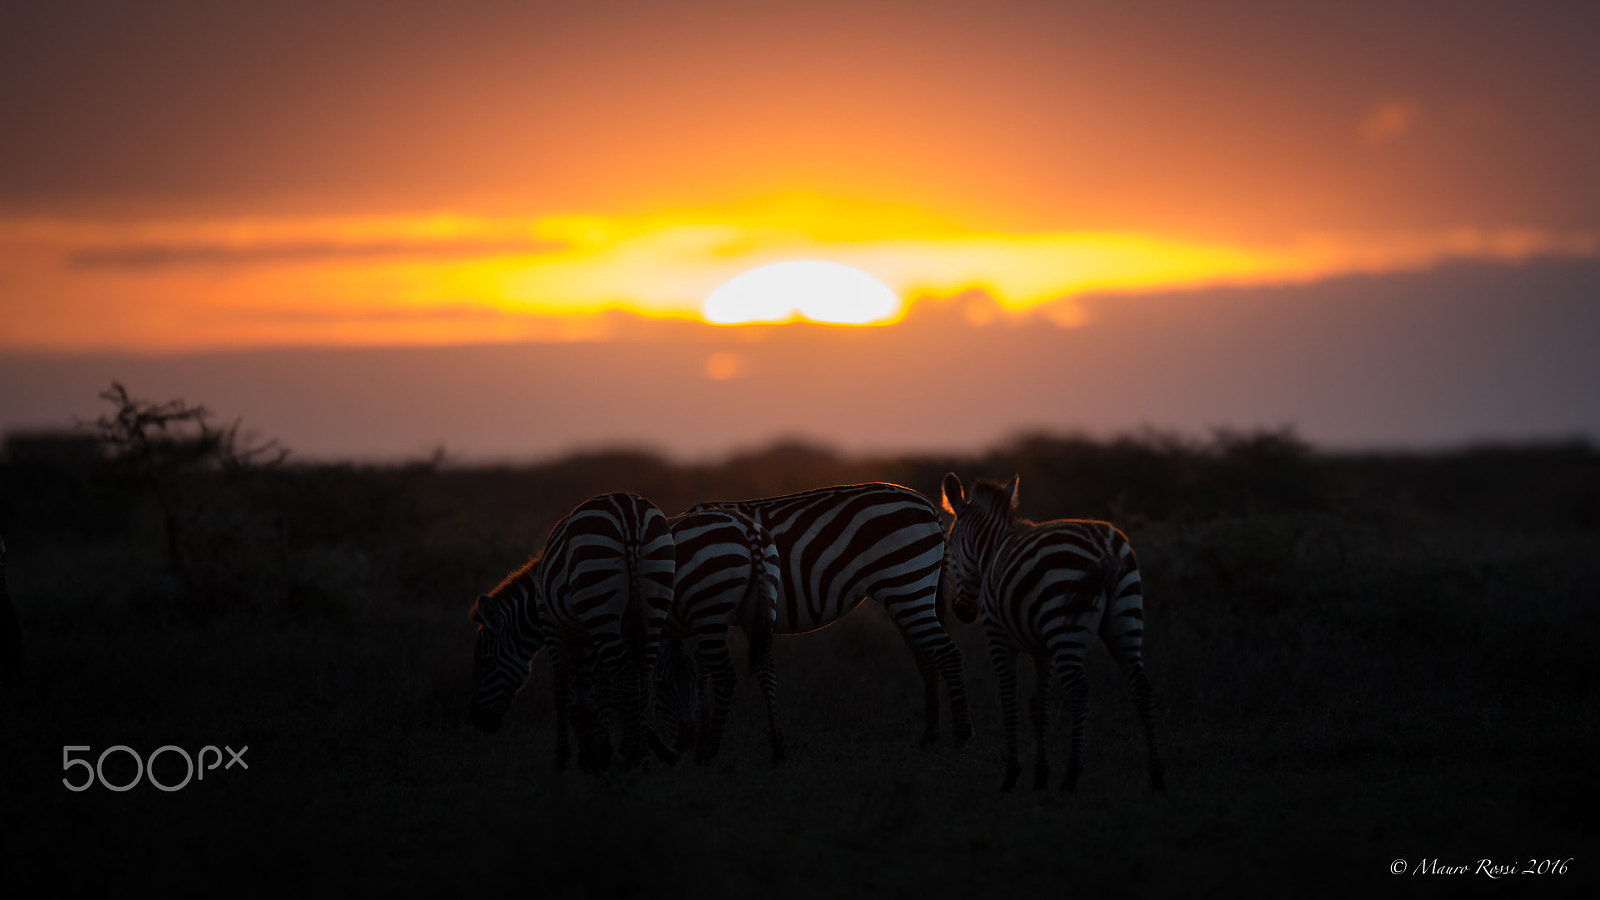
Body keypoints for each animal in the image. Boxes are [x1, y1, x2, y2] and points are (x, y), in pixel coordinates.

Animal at [652, 509, 784, 759]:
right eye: (664, 687)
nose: (685, 741)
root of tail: (748, 529)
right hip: (759, 603)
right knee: (766, 666)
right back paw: (777, 749)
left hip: (710, 608)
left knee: (726, 675)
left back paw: (709, 751)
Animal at [678, 483, 966, 743]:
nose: (685, 738)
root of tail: (928, 503)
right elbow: (703, 670)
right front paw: (703, 732)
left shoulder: (705, 610)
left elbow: (701, 671)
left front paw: (703, 736)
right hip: (905, 594)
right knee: (927, 656)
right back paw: (930, 735)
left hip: (907, 584)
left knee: (948, 655)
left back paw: (962, 736)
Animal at [934, 474, 1164, 787]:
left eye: (951, 548)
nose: (962, 611)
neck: (993, 551)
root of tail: (1104, 548)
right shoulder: (1042, 649)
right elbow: (1038, 707)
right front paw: (1041, 775)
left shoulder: (998, 637)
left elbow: (1010, 700)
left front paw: (1012, 772)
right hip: (1124, 620)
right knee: (1141, 685)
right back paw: (1156, 773)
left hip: (1065, 626)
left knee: (1078, 692)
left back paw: (1072, 775)